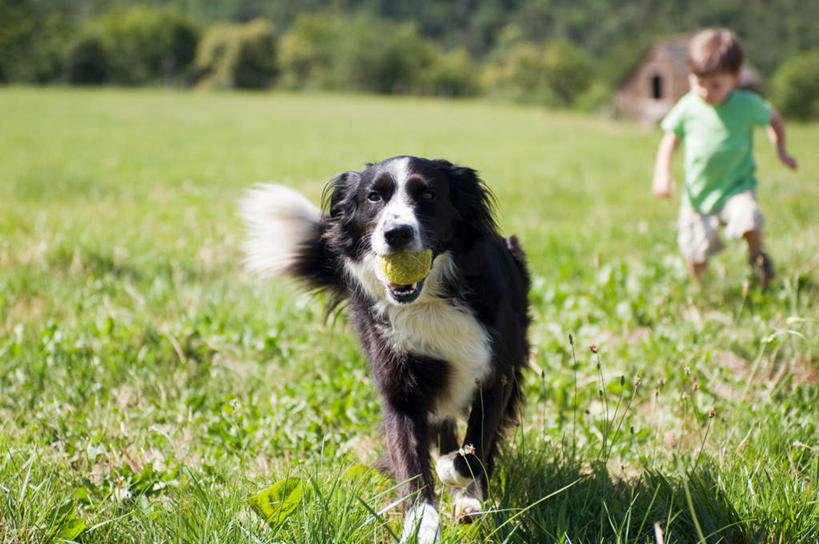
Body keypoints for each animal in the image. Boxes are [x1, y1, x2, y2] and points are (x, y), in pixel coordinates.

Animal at [240, 155, 528, 540]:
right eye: (374, 197)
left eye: (428, 194)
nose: (397, 234)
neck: (431, 300)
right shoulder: (400, 391)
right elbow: (412, 468)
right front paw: (422, 528)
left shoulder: (497, 373)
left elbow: (475, 449)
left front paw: (457, 480)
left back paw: (467, 498)